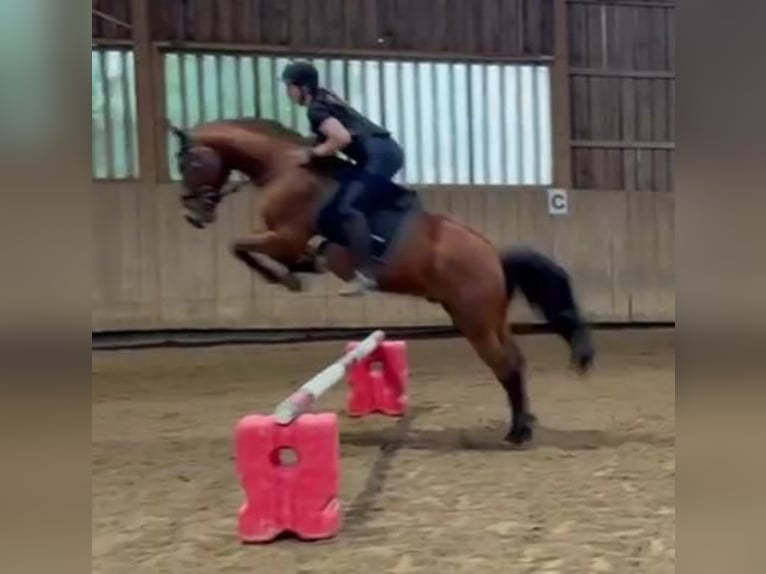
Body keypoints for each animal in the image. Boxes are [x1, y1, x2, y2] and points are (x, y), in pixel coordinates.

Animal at [167, 117, 595, 445]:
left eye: (191, 161)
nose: (193, 214)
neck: (283, 168)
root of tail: (495, 256)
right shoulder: (288, 241)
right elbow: (256, 250)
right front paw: (297, 272)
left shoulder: (284, 237)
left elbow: (239, 246)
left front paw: (286, 279)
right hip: (491, 319)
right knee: (515, 361)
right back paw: (523, 423)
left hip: (472, 321)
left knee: (505, 367)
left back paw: (518, 433)